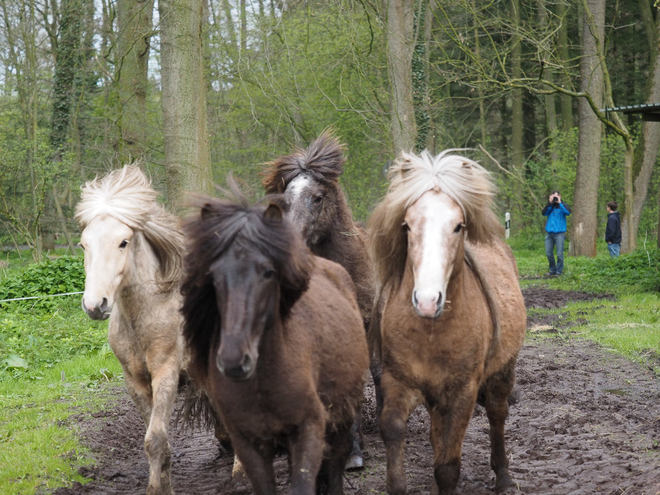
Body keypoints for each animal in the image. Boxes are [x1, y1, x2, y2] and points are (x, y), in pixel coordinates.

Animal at [179, 194, 372, 495]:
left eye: (269, 272)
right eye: (212, 276)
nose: (235, 359)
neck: (262, 386)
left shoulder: (308, 430)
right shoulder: (249, 444)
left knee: (335, 467)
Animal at [368, 151, 528, 495]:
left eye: (457, 226)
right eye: (407, 225)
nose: (428, 301)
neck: (432, 333)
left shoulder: (462, 393)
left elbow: (448, 466)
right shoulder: (398, 381)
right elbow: (394, 430)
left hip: (502, 372)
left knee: (497, 415)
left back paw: (504, 477)